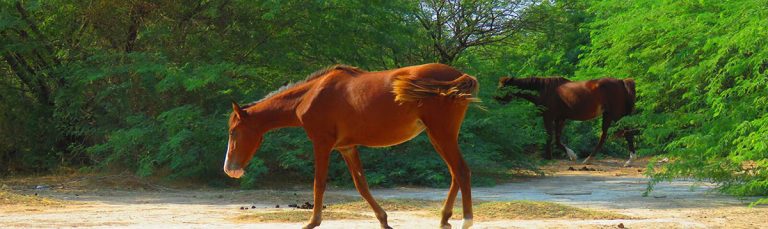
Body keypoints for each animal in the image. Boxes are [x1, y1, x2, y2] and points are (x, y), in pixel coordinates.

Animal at [224, 63, 480, 229]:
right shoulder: (346, 148)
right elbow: (362, 186)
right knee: (455, 174)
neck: (311, 95)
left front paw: (312, 222)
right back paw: (444, 219)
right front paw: (384, 220)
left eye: (233, 131)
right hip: (438, 137)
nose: (229, 169)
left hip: (442, 135)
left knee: (462, 171)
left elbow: (319, 184)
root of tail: (459, 75)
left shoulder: (322, 144)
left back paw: (466, 220)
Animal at [496, 77, 640, 166]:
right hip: (608, 115)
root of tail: (621, 82)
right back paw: (589, 159)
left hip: (616, 116)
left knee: (627, 133)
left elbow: (550, 137)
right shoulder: (560, 118)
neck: (544, 90)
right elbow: (557, 139)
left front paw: (549, 157)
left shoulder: (548, 117)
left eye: (503, 87)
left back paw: (630, 160)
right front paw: (571, 155)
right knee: (604, 136)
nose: (496, 98)